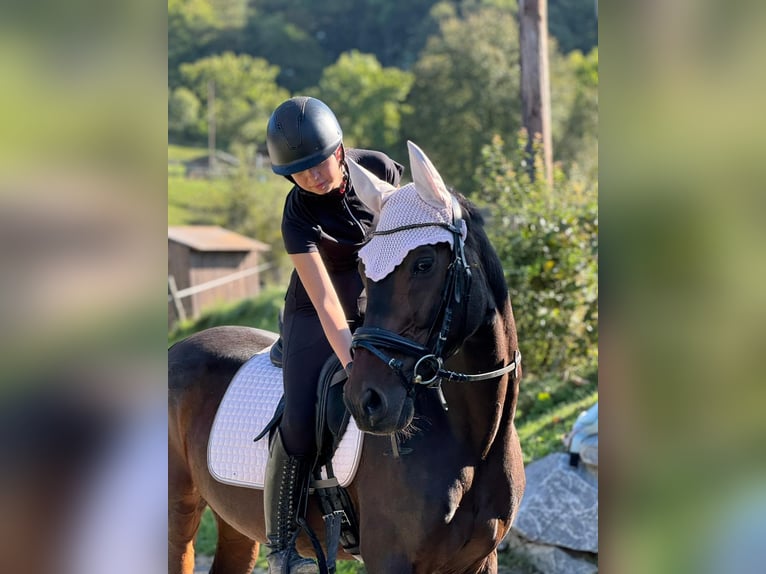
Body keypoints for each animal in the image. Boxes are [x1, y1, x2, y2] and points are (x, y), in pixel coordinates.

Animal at [168, 141, 525, 574]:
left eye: (424, 264)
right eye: (363, 267)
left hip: (233, 520)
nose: (366, 401)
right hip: (178, 513)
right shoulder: (391, 560)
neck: (476, 445)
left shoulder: (480, 559)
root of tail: (177, 348)